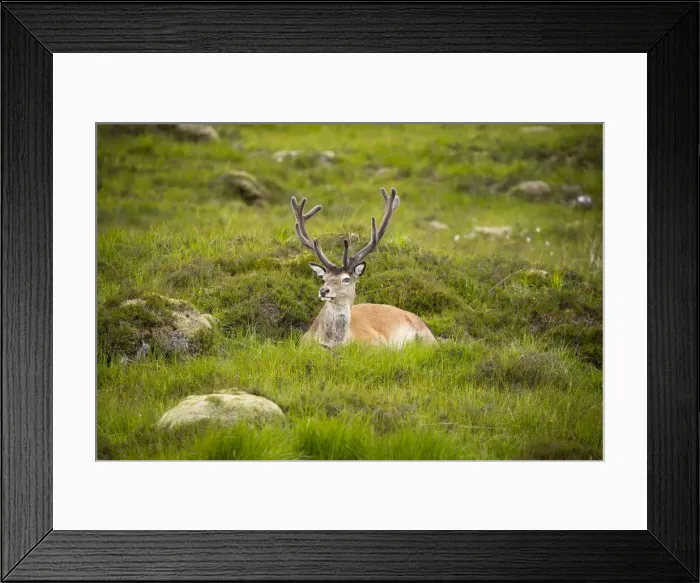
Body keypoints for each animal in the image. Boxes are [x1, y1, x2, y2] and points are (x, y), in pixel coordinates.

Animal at [290, 187, 436, 348]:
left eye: (346, 279)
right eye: (323, 278)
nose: (323, 290)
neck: (333, 343)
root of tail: (416, 317)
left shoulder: (377, 342)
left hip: (427, 336)